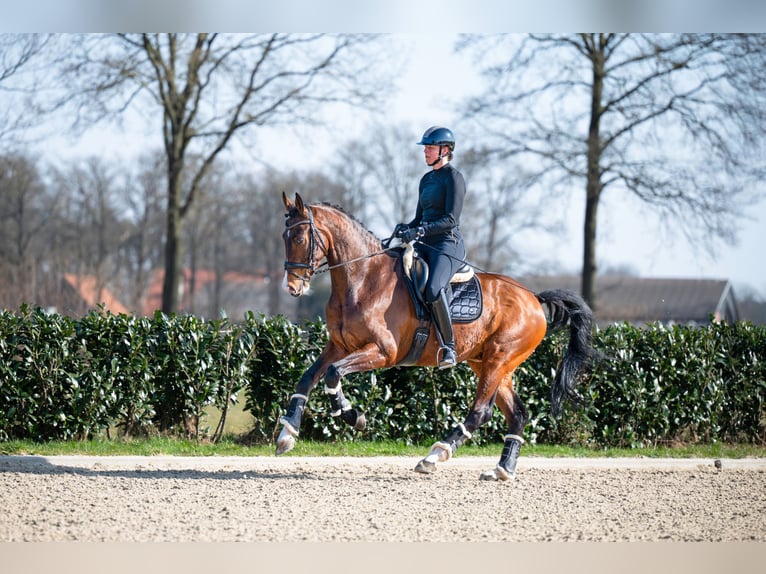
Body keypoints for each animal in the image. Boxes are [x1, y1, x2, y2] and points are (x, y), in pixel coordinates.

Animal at [277, 192, 595, 481]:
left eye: (300, 238)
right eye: (284, 236)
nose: (291, 288)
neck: (363, 277)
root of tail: (533, 298)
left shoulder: (383, 351)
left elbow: (333, 374)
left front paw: (352, 415)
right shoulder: (339, 346)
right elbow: (309, 376)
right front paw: (288, 432)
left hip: (499, 360)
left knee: (481, 412)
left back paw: (435, 454)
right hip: (491, 364)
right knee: (517, 414)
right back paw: (502, 469)